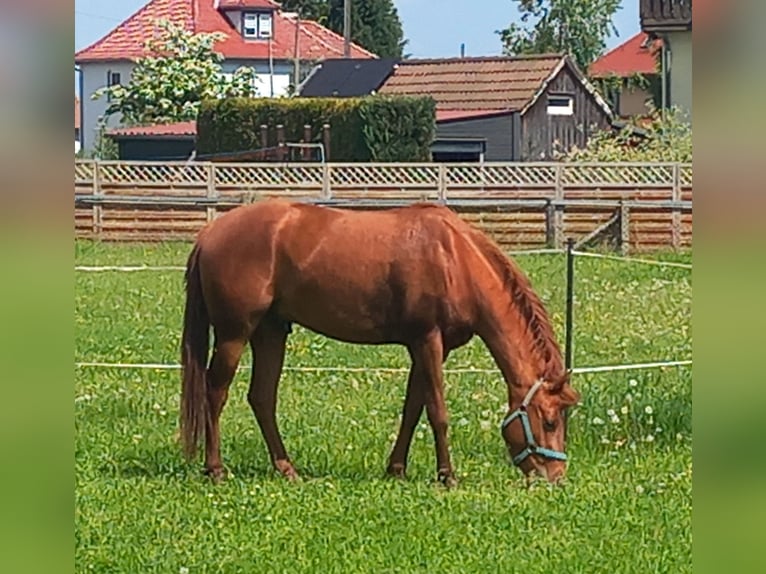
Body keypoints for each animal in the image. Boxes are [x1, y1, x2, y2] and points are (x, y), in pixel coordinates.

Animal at [182, 200, 584, 488]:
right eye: (549, 421)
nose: (556, 479)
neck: (455, 259)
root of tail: (211, 232)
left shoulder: (427, 348)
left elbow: (413, 409)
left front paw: (396, 469)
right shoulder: (428, 340)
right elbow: (437, 412)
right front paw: (447, 476)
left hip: (270, 332)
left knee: (262, 398)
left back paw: (287, 469)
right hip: (235, 334)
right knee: (215, 393)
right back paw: (215, 469)